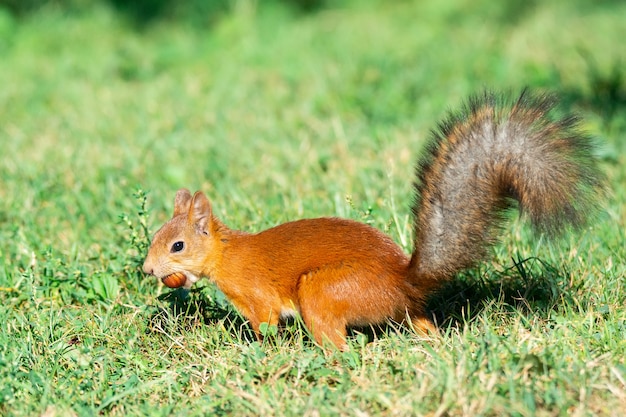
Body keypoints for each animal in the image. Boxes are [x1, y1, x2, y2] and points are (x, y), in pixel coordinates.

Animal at [140, 89, 600, 350]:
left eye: (177, 245)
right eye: (157, 235)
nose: (146, 269)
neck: (226, 255)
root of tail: (403, 280)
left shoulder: (259, 299)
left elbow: (266, 327)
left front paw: (253, 352)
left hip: (321, 292)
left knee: (339, 347)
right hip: (397, 309)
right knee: (421, 323)